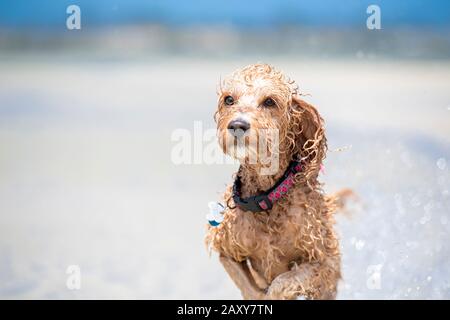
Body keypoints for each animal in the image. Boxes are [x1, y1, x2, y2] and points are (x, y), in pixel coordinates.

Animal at [207, 63, 344, 300]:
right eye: (229, 99)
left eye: (270, 101)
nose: (237, 124)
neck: (267, 199)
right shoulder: (226, 250)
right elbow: (251, 288)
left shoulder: (326, 263)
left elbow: (283, 281)